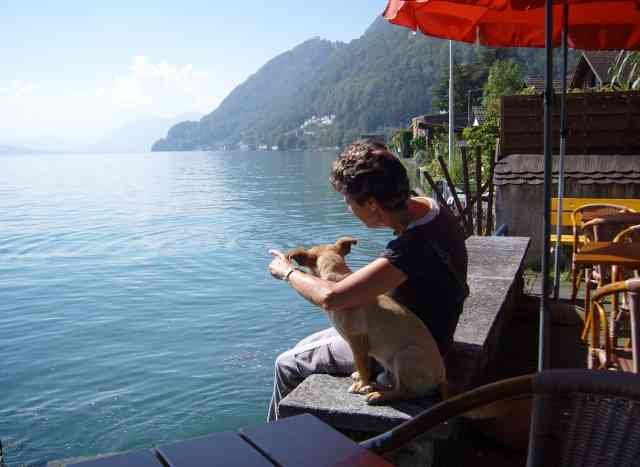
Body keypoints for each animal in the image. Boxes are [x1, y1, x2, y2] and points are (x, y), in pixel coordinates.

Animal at [286, 236, 444, 404]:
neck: (337, 279)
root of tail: (441, 379)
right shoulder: (362, 343)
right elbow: (365, 363)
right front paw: (363, 380)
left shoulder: (357, 339)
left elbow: (361, 363)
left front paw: (361, 384)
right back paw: (376, 387)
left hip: (406, 355)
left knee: (405, 391)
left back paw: (379, 395)